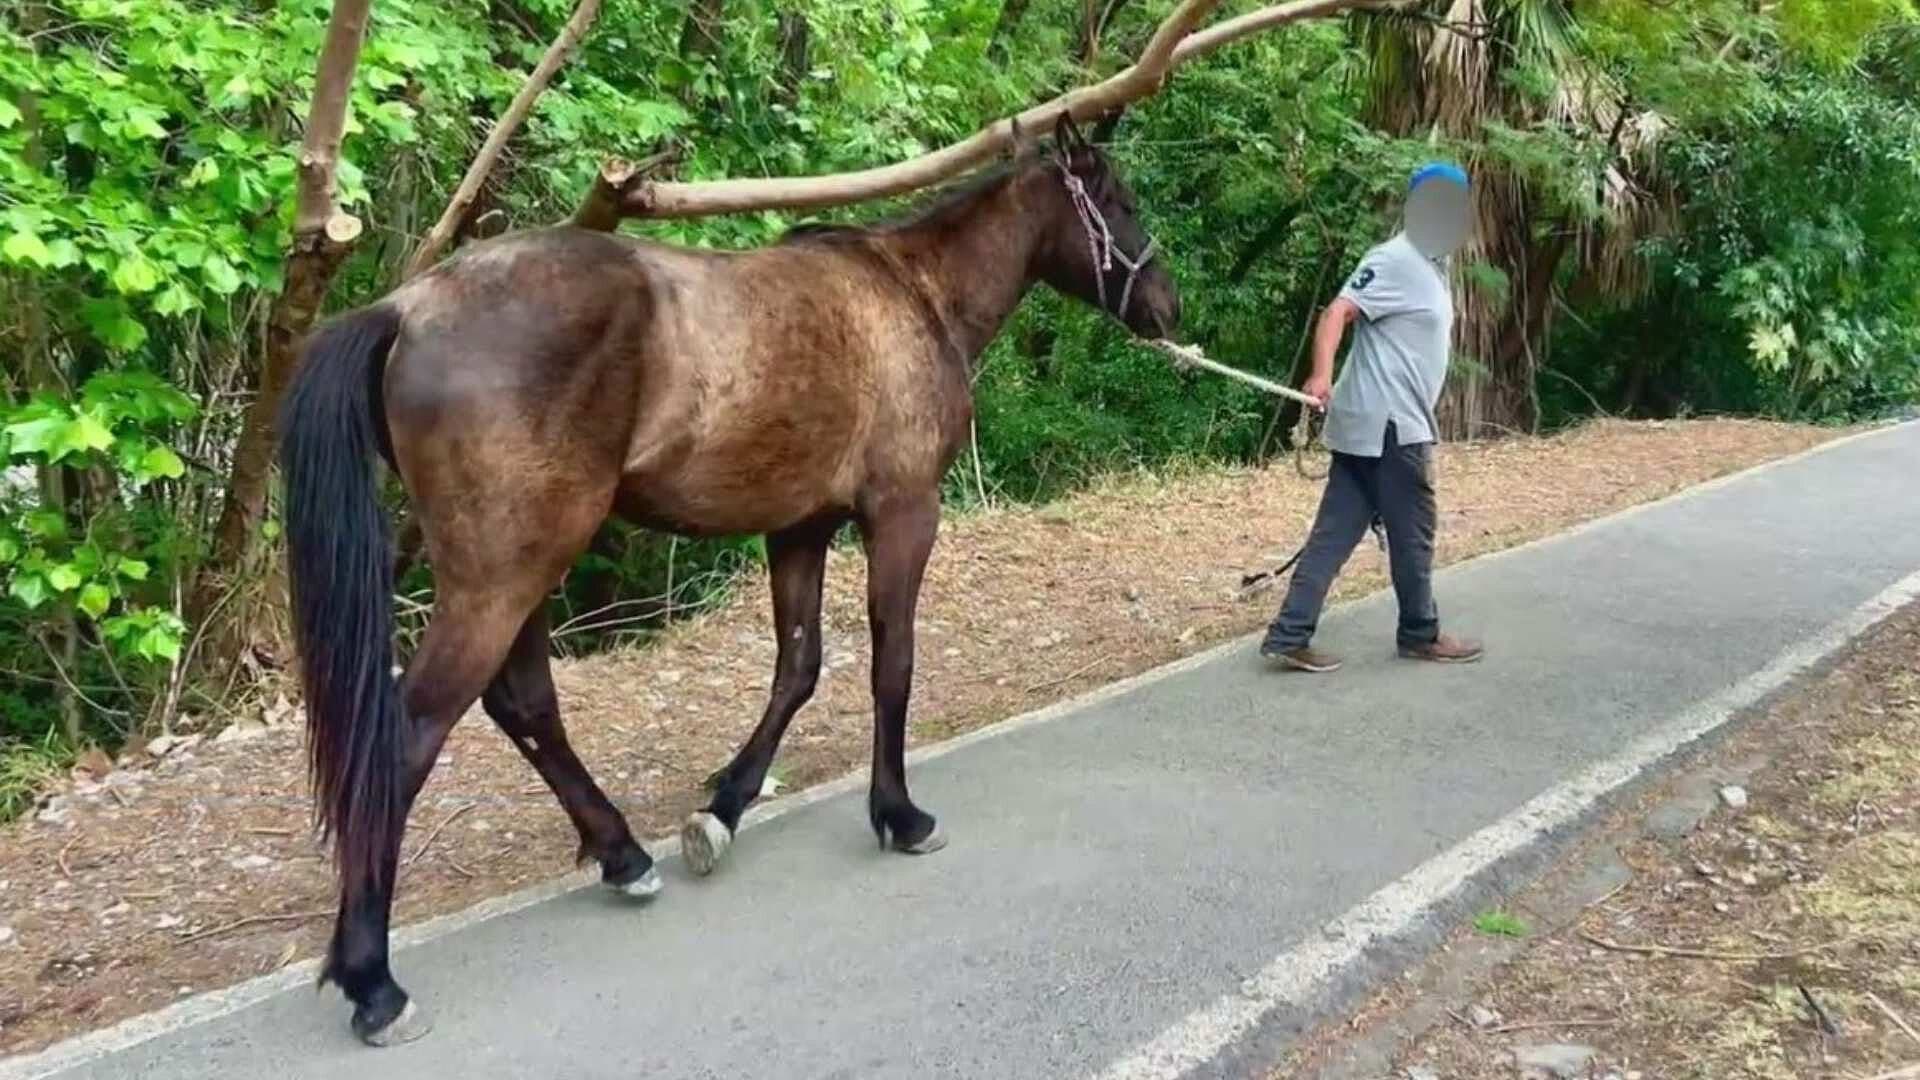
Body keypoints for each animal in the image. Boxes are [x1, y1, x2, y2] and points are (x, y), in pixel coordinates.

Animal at [278, 116, 1180, 1046]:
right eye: (1120, 200)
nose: (1167, 308)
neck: (911, 292)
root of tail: (407, 309)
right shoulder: (902, 515)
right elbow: (890, 667)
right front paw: (898, 815)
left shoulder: (800, 529)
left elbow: (798, 669)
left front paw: (726, 807)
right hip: (504, 575)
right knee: (409, 733)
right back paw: (372, 979)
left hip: (524, 567)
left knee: (524, 706)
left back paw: (622, 856)